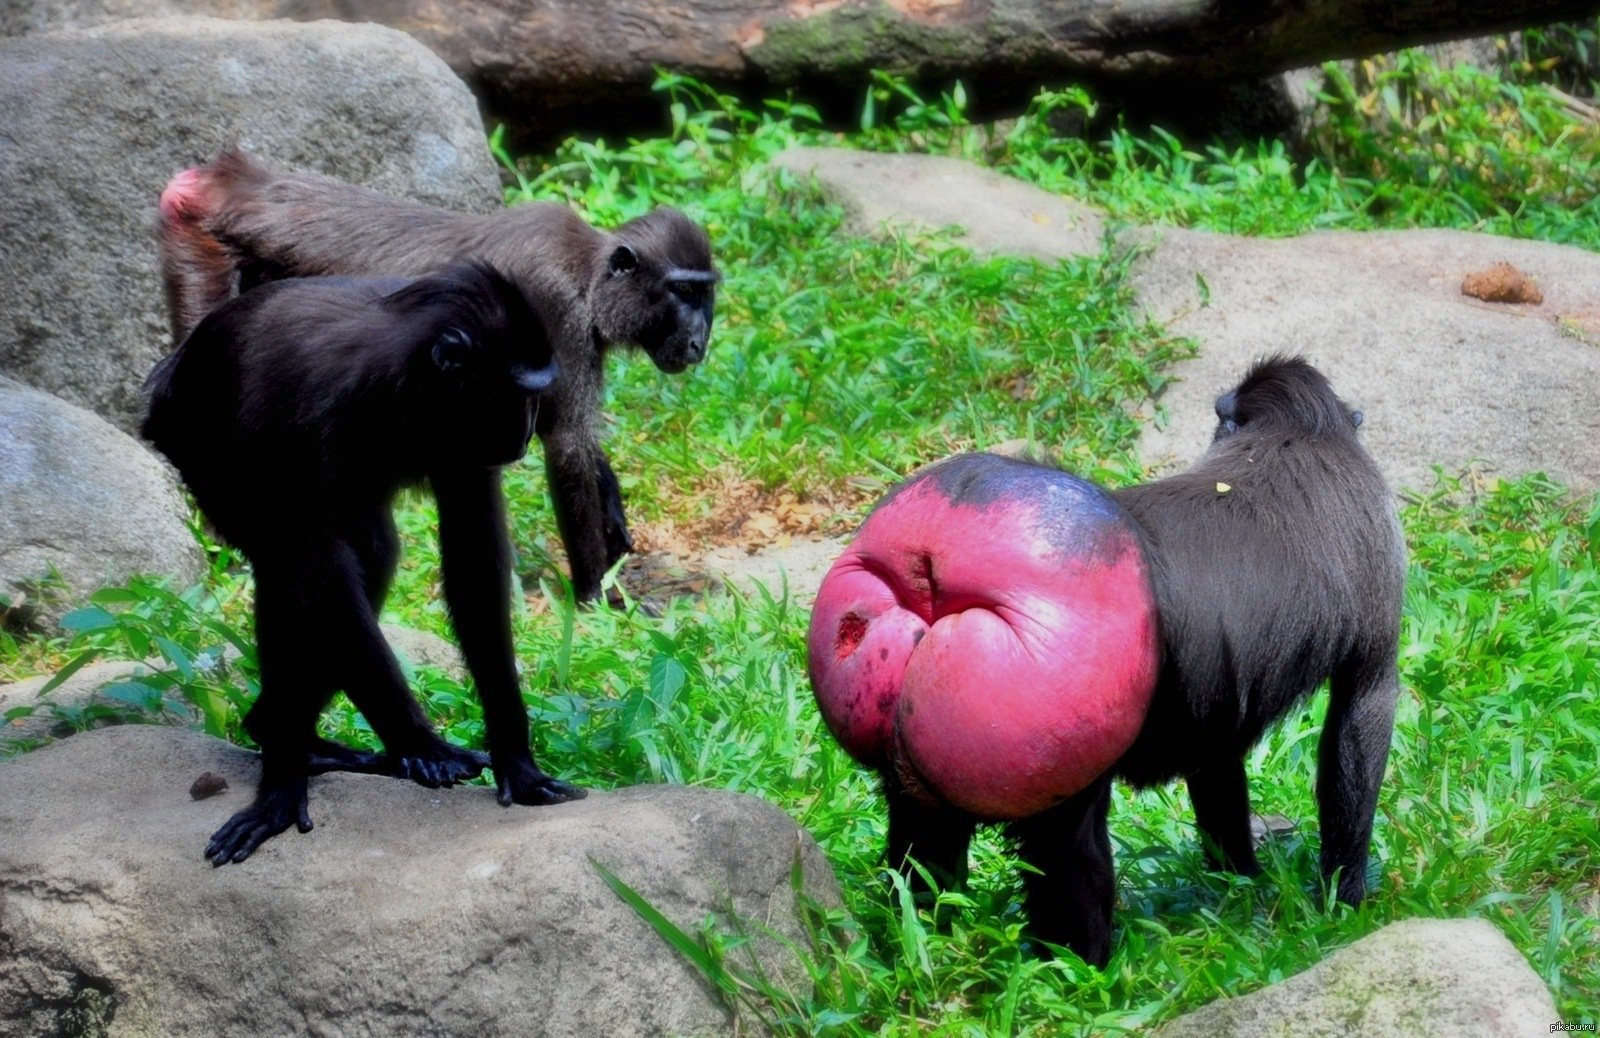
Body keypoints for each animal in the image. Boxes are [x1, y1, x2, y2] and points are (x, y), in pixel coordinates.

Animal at [140, 260, 585, 863]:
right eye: (517, 393)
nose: (528, 430)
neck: (405, 378)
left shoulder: (462, 445)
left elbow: (473, 567)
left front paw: (516, 762)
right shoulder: (302, 417)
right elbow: (320, 577)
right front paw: (423, 746)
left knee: (368, 556)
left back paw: (294, 740)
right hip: (203, 453)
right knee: (293, 571)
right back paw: (287, 753)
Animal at [157, 155, 720, 607]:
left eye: (705, 294)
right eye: (683, 293)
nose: (699, 342)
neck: (588, 271)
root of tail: (222, 180)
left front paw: (614, 528)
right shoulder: (556, 310)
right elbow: (569, 447)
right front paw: (596, 596)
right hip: (202, 254)